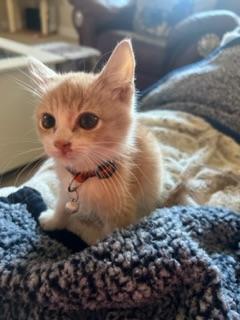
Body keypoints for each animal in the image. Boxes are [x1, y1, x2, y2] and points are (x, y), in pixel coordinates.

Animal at [29, 40, 162, 245]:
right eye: (47, 121)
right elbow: (62, 205)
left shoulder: (123, 209)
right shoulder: (65, 189)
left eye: (88, 121)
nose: (61, 143)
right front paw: (54, 220)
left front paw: (90, 239)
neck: (85, 174)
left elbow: (108, 240)